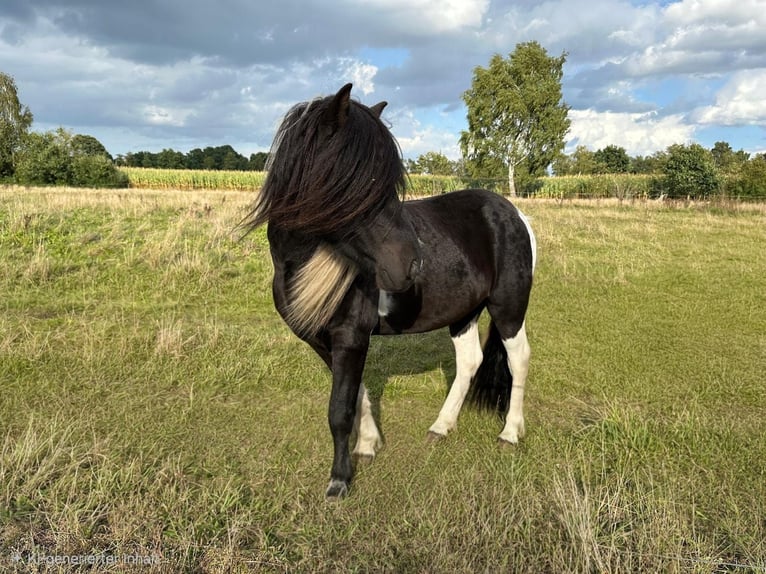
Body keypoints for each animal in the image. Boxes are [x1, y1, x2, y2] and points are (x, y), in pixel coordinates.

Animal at [242, 84, 536, 499]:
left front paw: (339, 480)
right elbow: (355, 392)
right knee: (470, 361)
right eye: (358, 182)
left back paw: (510, 433)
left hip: (508, 307)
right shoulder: (323, 340)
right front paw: (368, 444)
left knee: (518, 358)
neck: (299, 266)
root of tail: (513, 212)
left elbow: (339, 409)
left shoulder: (350, 336)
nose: (413, 265)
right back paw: (441, 427)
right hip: (463, 312)